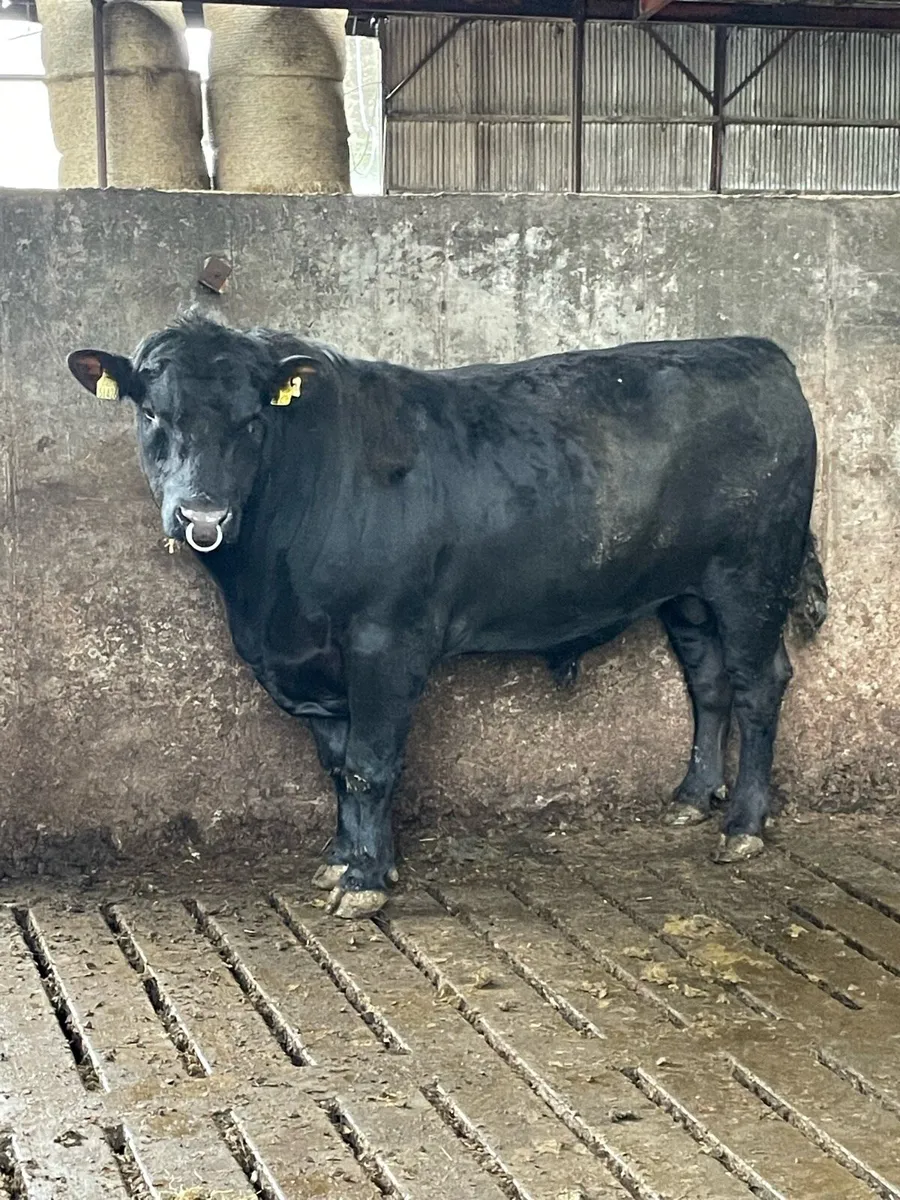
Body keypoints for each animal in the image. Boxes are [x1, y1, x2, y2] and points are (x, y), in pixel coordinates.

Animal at [68, 314, 827, 918]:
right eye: (151, 415)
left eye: (253, 420)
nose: (202, 515)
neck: (265, 598)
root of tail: (756, 349)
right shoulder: (314, 664)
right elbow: (336, 766)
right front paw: (345, 858)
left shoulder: (386, 641)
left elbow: (371, 764)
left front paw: (366, 882)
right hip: (686, 593)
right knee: (709, 683)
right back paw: (692, 797)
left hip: (752, 575)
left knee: (759, 685)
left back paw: (743, 825)